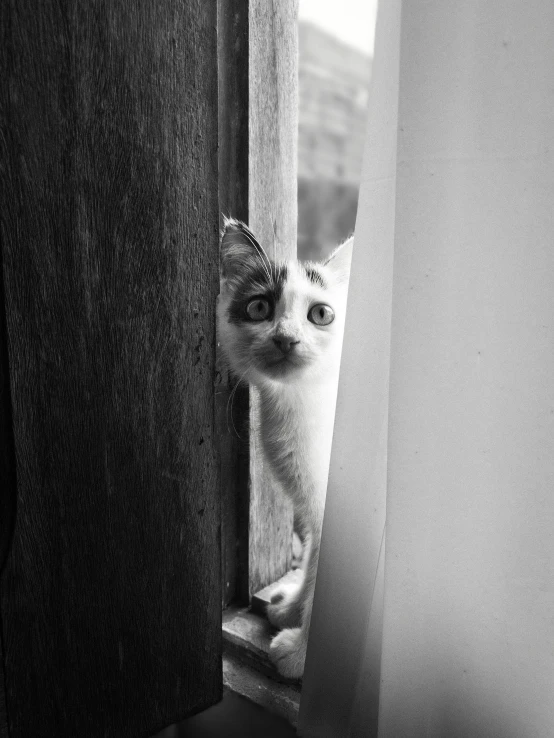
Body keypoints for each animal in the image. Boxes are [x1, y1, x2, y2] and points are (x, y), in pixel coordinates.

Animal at [216, 216, 350, 676]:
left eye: (321, 314)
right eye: (259, 308)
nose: (286, 338)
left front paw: (301, 655)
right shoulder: (315, 511)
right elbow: (312, 561)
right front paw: (290, 608)